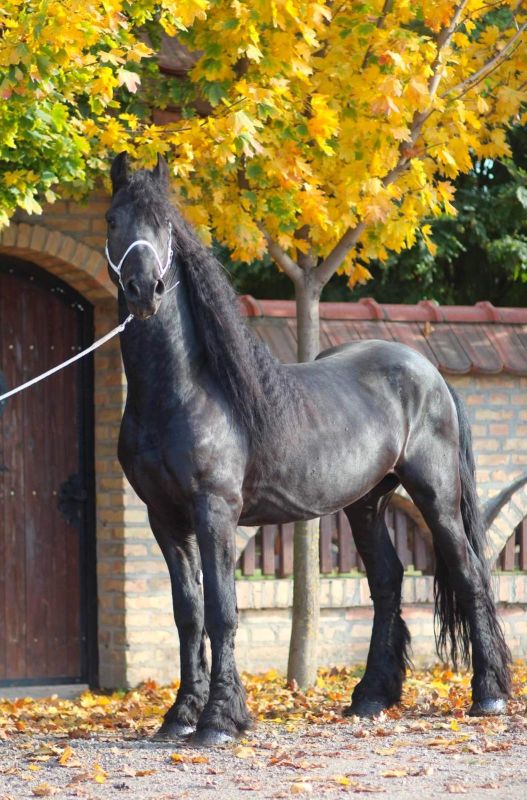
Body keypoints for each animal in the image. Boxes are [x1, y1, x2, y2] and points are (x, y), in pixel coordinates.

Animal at [105, 155, 512, 744]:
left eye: (165, 227)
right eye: (113, 220)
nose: (144, 290)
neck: (181, 392)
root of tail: (430, 373)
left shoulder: (215, 512)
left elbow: (222, 611)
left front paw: (219, 721)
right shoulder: (165, 518)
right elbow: (188, 615)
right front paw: (179, 716)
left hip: (434, 494)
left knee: (469, 572)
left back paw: (489, 695)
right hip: (368, 502)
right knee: (387, 581)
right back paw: (370, 697)